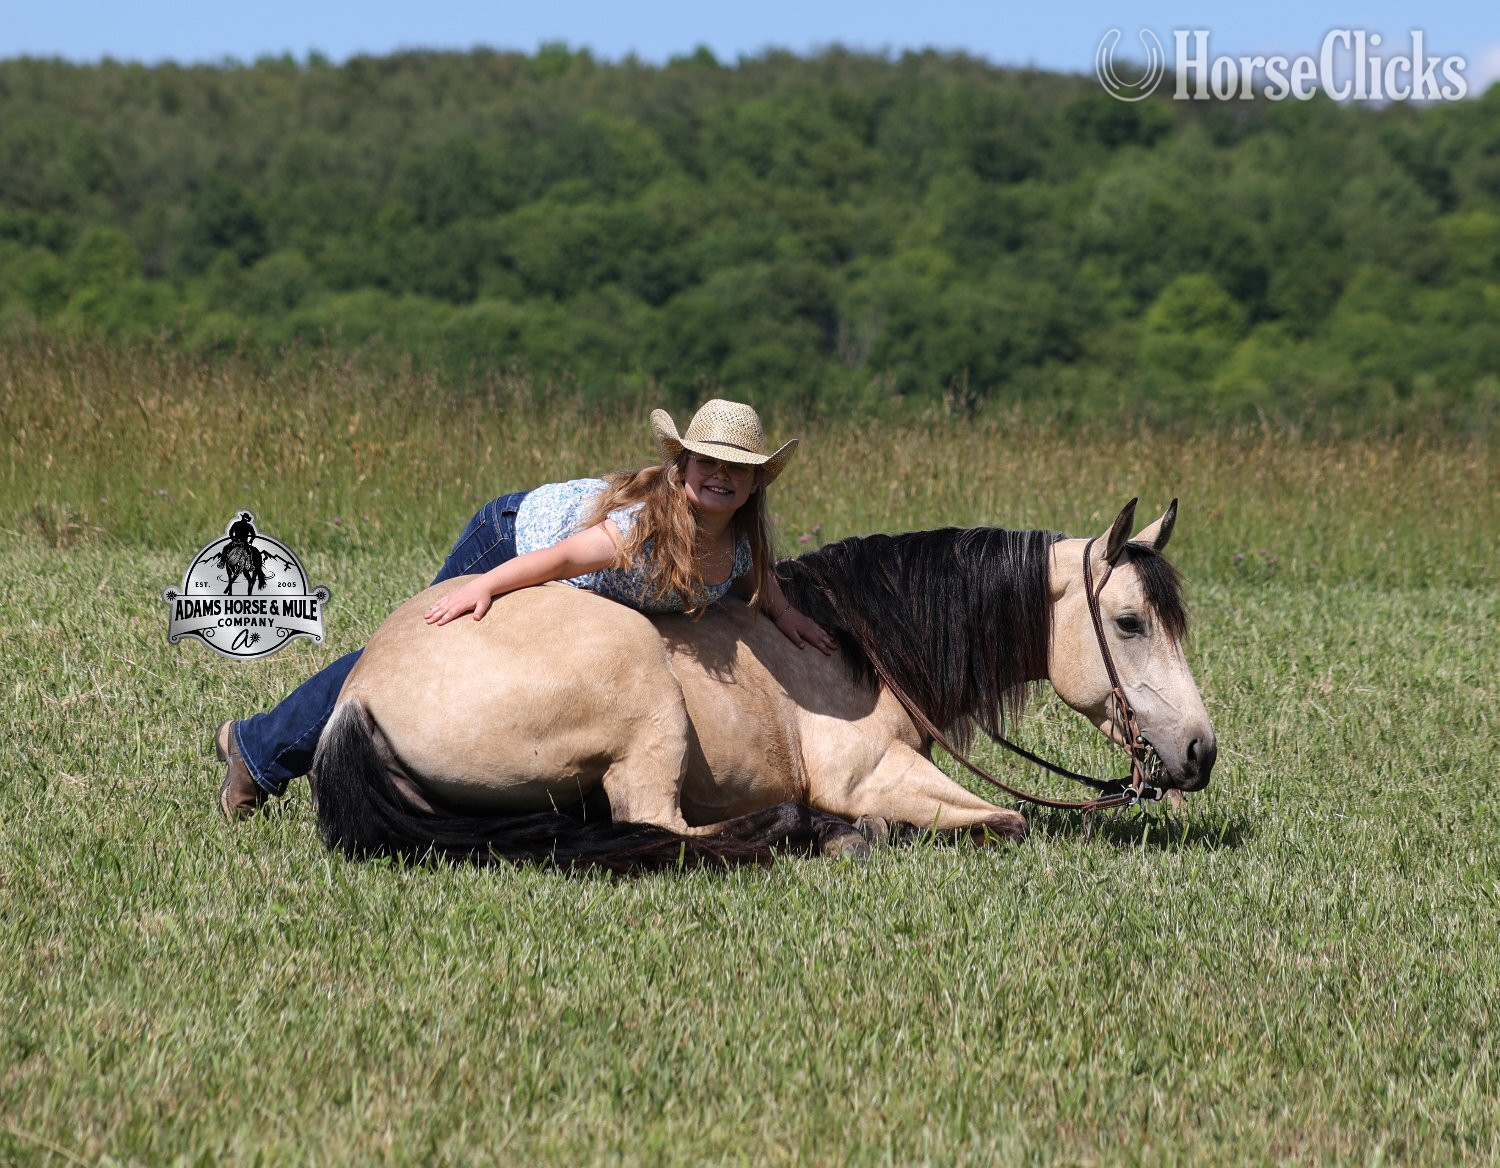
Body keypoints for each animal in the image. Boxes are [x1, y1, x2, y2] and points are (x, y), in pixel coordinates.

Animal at [311, 499, 1216, 871]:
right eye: (1129, 622)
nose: (1200, 753)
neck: (864, 645)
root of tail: (356, 698)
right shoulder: (871, 774)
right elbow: (1005, 821)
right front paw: (865, 831)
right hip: (646, 710)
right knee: (659, 827)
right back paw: (810, 832)